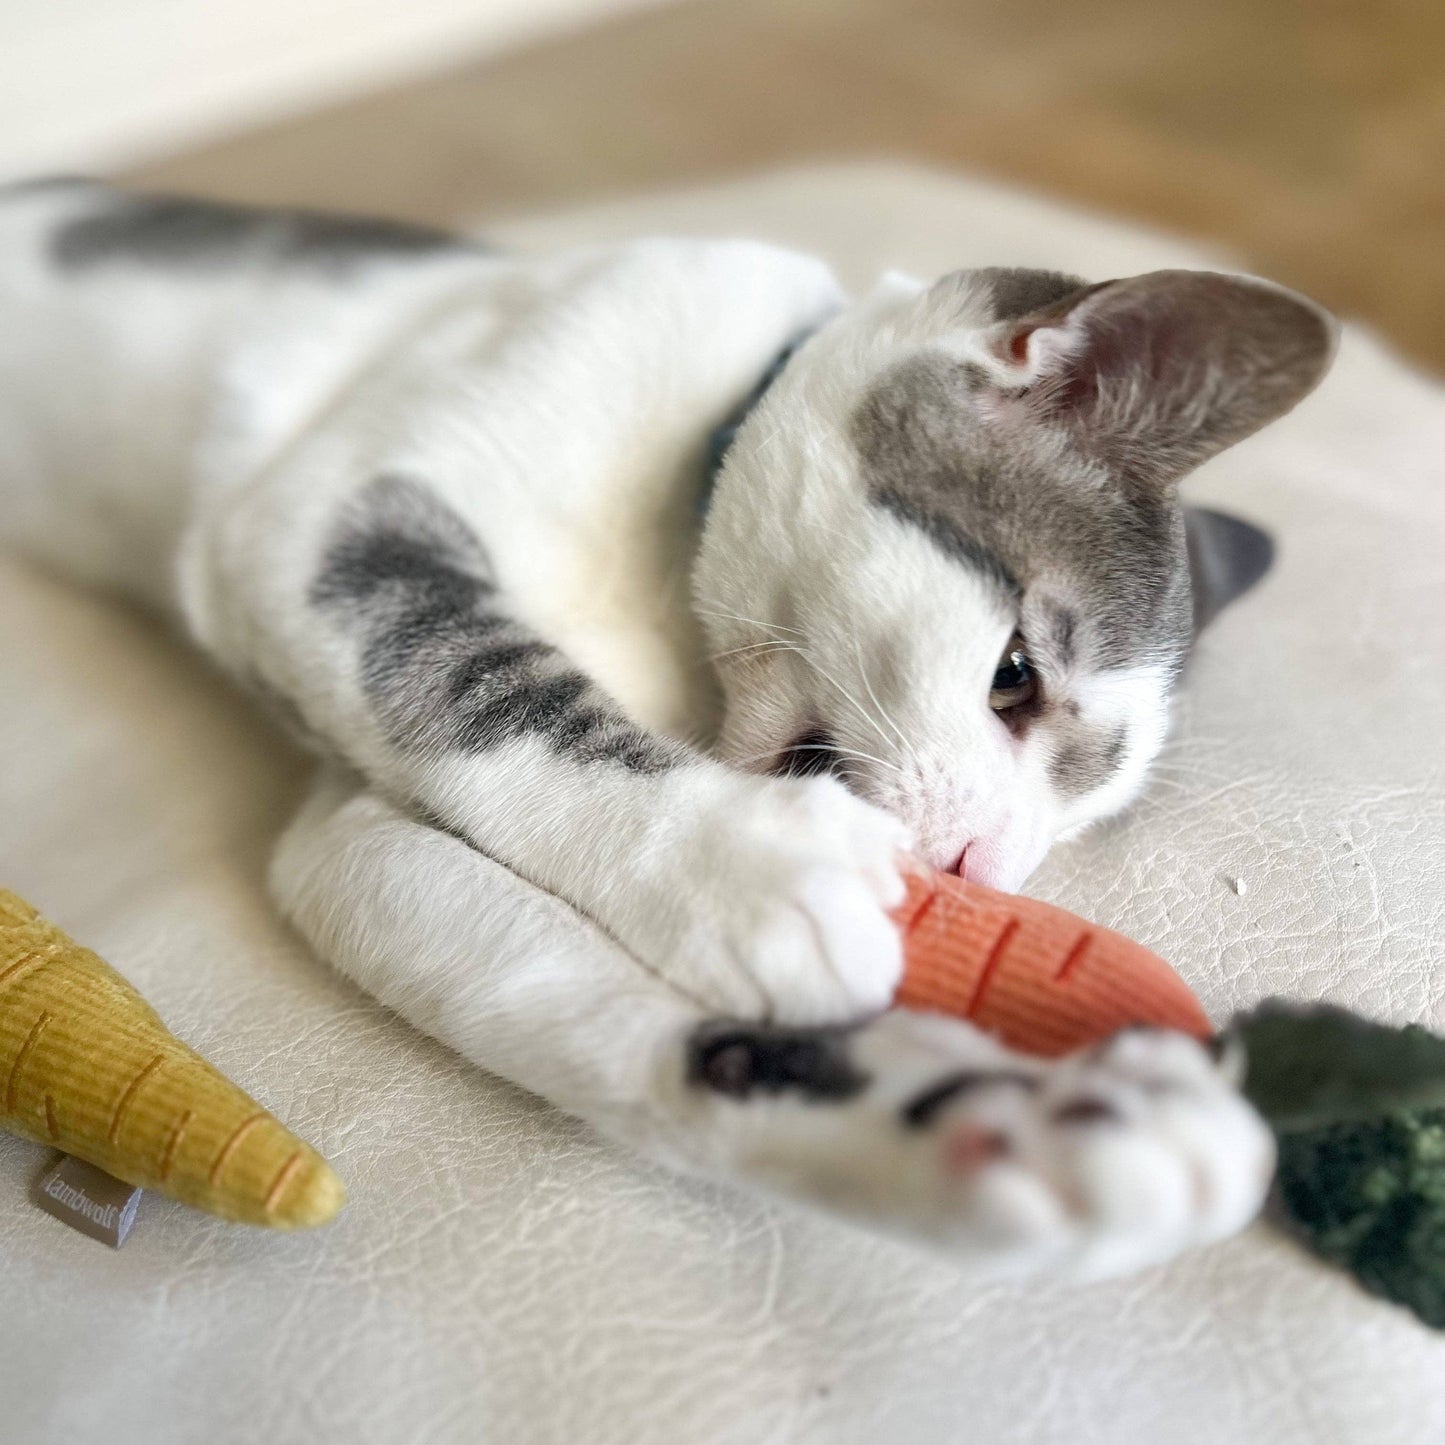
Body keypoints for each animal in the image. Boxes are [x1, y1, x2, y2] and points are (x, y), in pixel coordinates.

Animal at [0, 177, 1329, 1277]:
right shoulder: (322, 523)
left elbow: (573, 996)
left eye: (1071, 825)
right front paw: (738, 854)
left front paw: (1003, 1129)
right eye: (1013, 677)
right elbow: (486, 677)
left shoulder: (351, 827)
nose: (974, 869)